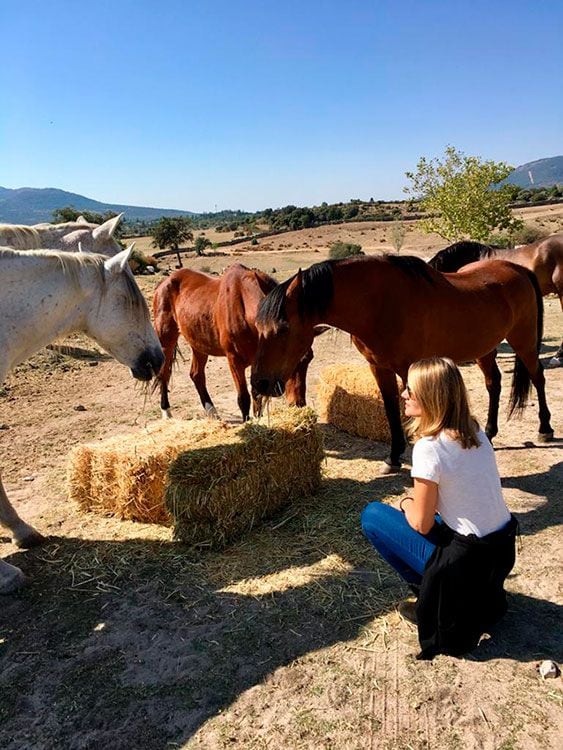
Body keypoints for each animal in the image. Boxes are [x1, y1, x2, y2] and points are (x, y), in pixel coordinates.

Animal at [152, 262, 316, 424]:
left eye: (308, 359)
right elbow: (244, 399)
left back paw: (213, 413)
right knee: (163, 373)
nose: (299, 405)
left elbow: (257, 395)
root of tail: (163, 283)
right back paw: (166, 411)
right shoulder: (234, 360)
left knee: (196, 375)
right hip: (166, 340)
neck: (244, 311)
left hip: (198, 343)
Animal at [252, 256, 556, 472]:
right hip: (485, 348)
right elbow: (390, 408)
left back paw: (545, 428)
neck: (379, 303)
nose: (259, 383)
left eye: (282, 329)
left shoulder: (409, 368)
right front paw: (393, 456)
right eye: (257, 327)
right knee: (494, 383)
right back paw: (491, 433)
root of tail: (519, 269)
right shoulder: (380, 368)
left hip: (524, 342)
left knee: (538, 377)